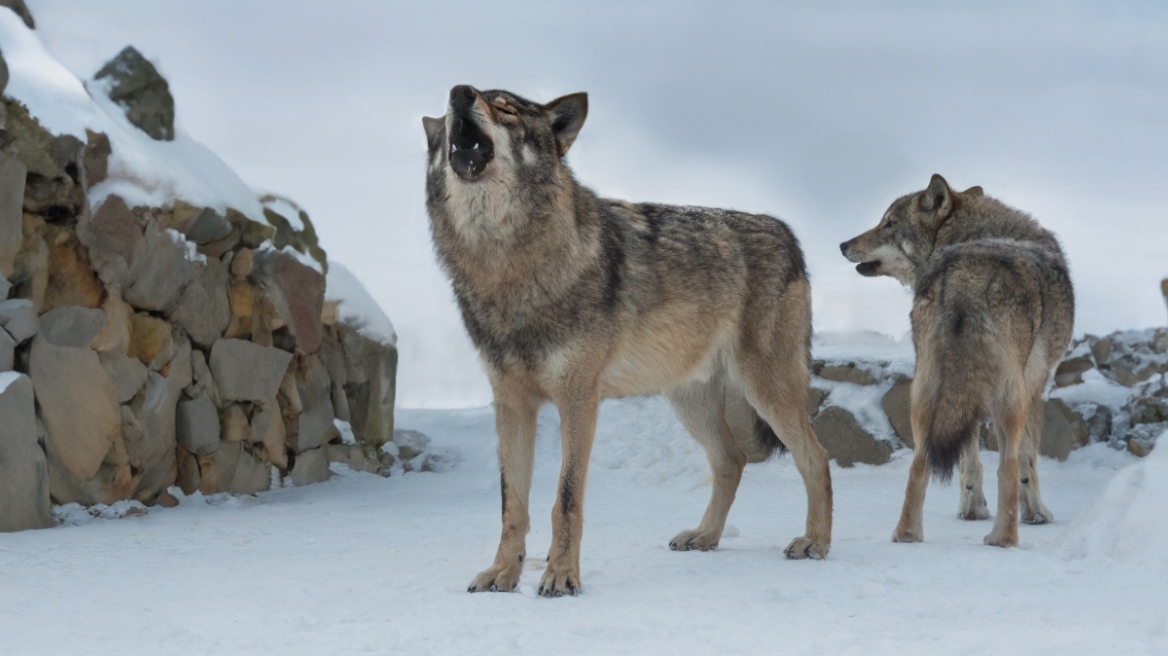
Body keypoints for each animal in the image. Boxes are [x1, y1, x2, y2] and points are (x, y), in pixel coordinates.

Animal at [420, 85, 831, 592]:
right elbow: (511, 504)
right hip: (689, 400)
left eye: (506, 108)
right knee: (731, 460)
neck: (504, 264)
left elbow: (565, 500)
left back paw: (815, 542)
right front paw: (502, 574)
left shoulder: (579, 399)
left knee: (816, 457)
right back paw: (705, 536)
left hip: (766, 391)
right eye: (450, 110)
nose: (459, 93)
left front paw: (561, 578)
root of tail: (786, 232)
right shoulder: (511, 404)